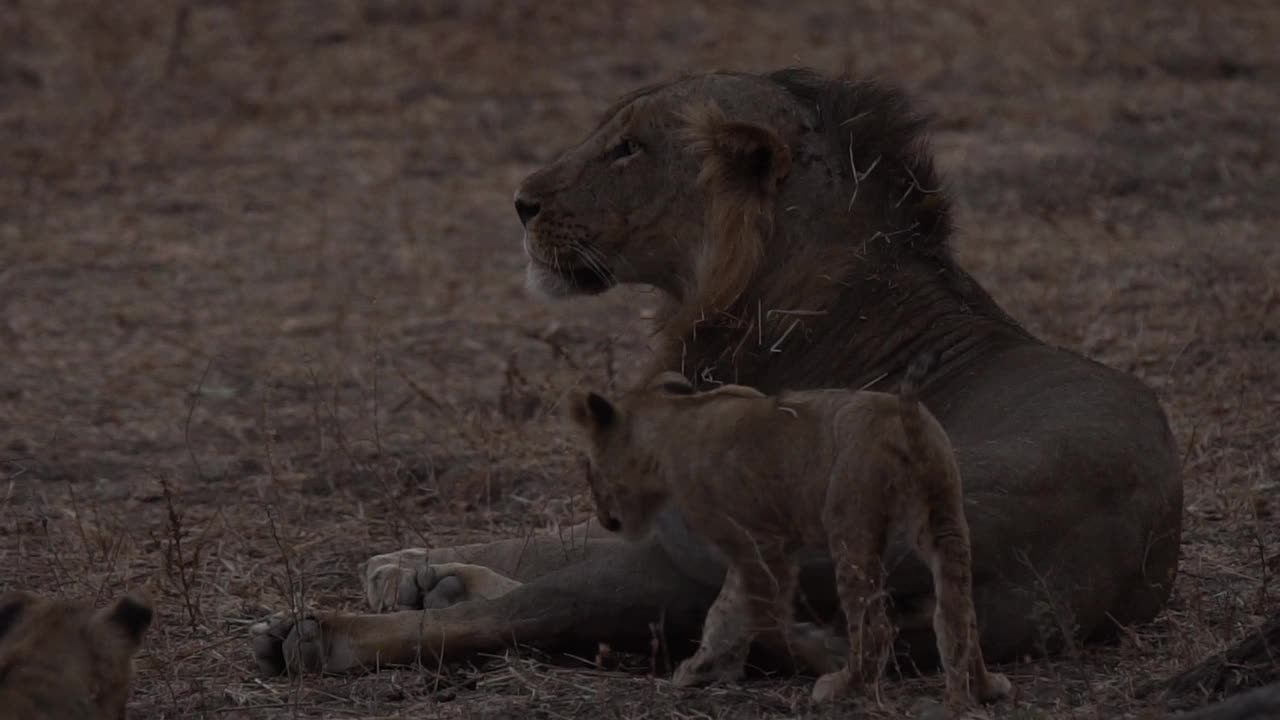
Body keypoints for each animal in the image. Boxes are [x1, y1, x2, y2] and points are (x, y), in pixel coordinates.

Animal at [568, 363, 1008, 707]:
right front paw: (704, 668)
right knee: (958, 613)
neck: (672, 420)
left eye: (588, 469)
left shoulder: (757, 543)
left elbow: (762, 615)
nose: (604, 519)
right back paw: (982, 688)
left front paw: (814, 655)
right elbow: (725, 609)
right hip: (944, 518)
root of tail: (899, 415)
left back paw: (843, 684)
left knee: (876, 625)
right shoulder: (770, 542)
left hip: (849, 524)